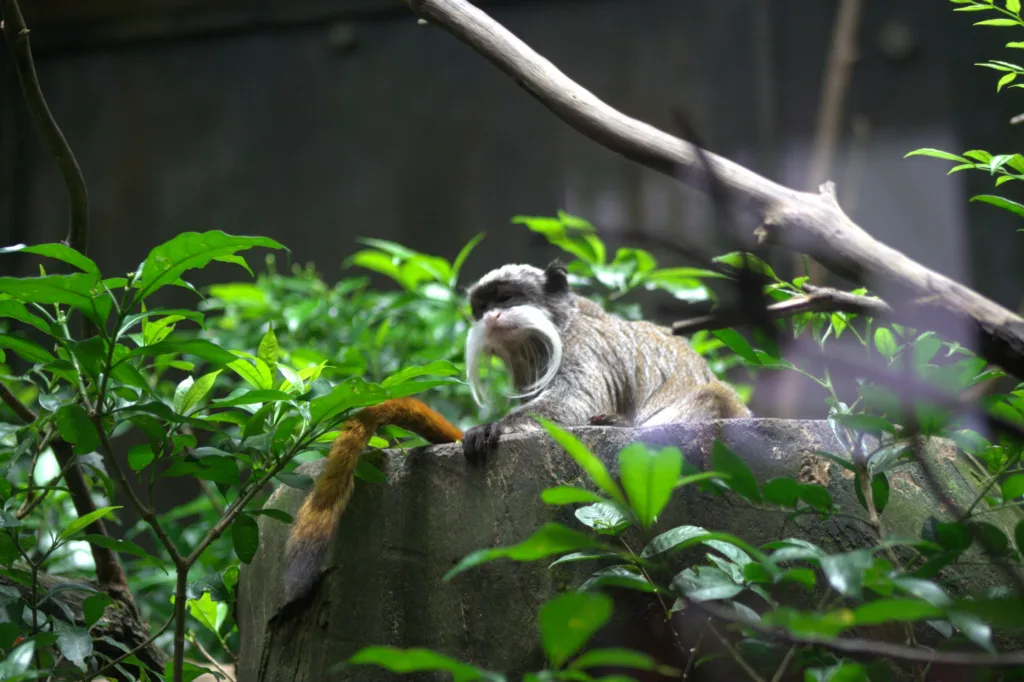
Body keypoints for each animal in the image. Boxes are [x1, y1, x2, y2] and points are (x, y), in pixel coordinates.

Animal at [461, 260, 751, 462]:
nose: (491, 317)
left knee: (714, 394)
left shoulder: (583, 344)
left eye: (505, 298)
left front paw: (492, 426)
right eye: (480, 309)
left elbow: (575, 402)